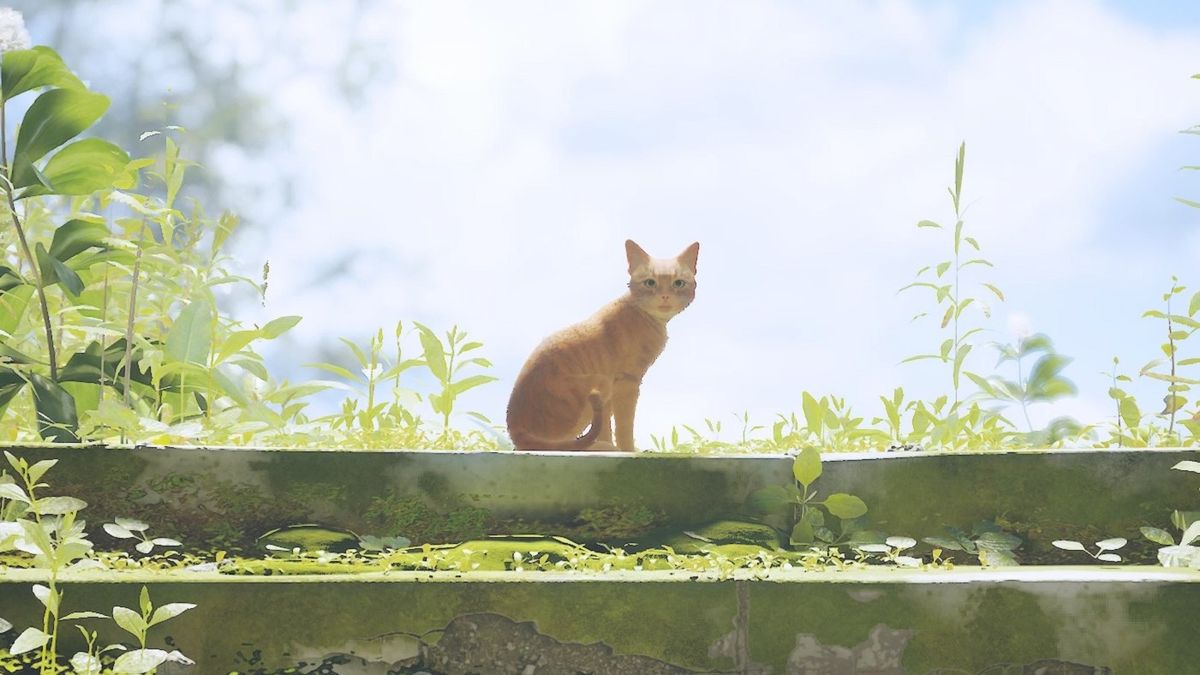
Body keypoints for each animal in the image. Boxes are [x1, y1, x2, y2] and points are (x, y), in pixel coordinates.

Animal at [508, 239, 700, 449]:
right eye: (650, 282)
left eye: (678, 283)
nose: (665, 296)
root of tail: (514, 428)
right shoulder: (626, 382)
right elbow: (624, 428)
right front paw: (628, 450)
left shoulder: (611, 390)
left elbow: (605, 427)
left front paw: (611, 444)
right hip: (599, 385)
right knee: (563, 445)